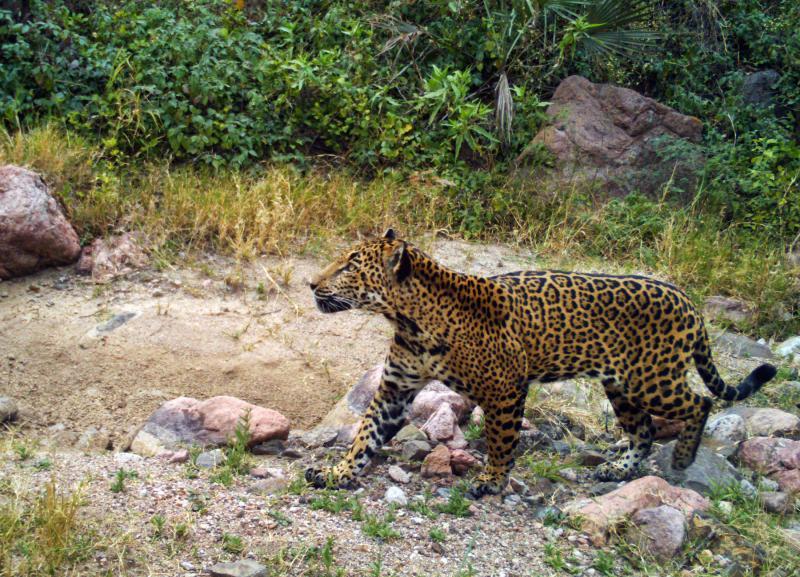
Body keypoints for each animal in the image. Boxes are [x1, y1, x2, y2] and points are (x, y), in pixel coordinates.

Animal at [305, 229, 777, 498]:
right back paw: (619, 469)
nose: (310, 283)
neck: (411, 319)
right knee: (642, 428)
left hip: (651, 378)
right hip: (620, 385)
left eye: (348, 266)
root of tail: (689, 302)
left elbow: (500, 440)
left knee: (699, 403)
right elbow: (366, 434)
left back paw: (681, 459)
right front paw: (338, 471)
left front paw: (492, 481)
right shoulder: (395, 387)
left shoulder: (505, 389)